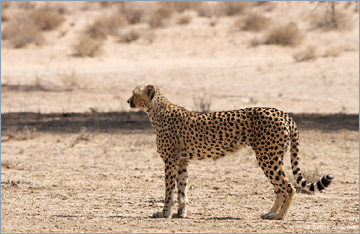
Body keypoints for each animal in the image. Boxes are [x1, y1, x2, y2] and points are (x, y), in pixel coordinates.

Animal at [127, 85, 334, 220]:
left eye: (134, 93)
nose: (128, 101)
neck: (156, 110)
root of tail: (283, 113)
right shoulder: (182, 162)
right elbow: (182, 189)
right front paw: (180, 214)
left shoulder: (170, 161)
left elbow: (169, 190)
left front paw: (164, 213)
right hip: (271, 157)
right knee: (279, 188)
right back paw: (270, 212)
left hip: (267, 157)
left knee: (288, 187)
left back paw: (279, 217)